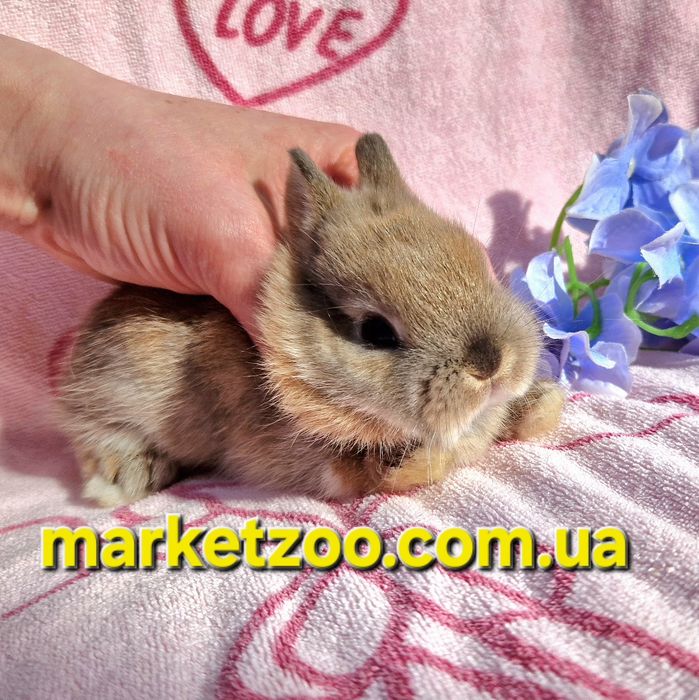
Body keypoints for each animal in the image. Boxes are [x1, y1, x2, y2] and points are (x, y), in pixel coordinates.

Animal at [57, 134, 565, 507]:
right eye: (375, 331)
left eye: (480, 265)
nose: (491, 364)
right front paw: (404, 467)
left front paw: (542, 406)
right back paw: (126, 478)